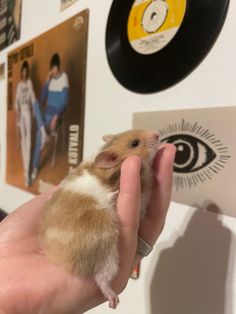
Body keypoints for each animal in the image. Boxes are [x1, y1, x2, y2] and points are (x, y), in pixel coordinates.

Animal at [38, 129, 159, 308]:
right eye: (134, 143)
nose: (157, 134)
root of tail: (61, 261)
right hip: (106, 245)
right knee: (102, 278)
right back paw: (113, 300)